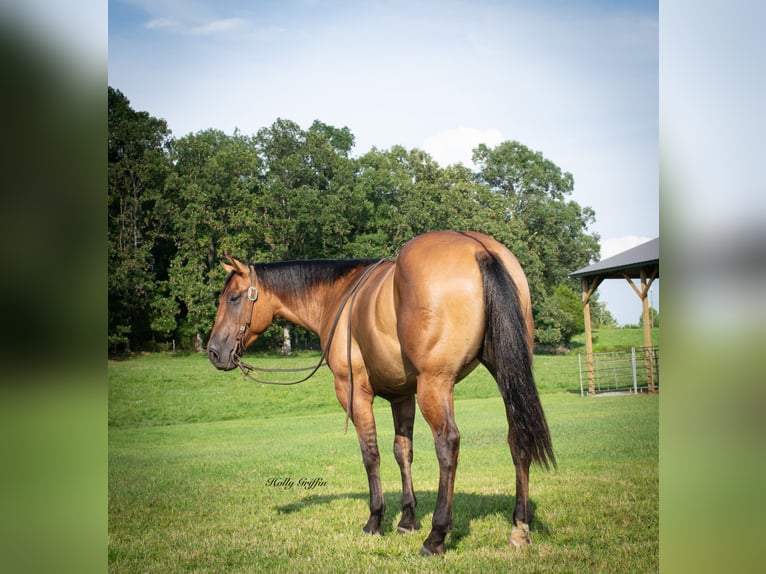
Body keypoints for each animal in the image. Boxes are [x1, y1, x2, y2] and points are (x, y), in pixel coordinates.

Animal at [207, 230, 555, 556]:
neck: (339, 296)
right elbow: (403, 452)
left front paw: (375, 520)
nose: (213, 352)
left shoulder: (353, 391)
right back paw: (519, 528)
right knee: (518, 438)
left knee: (448, 444)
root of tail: (479, 249)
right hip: (506, 374)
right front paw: (407, 519)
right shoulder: (402, 396)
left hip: (436, 384)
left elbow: (370, 453)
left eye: (234, 297)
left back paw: (437, 537)